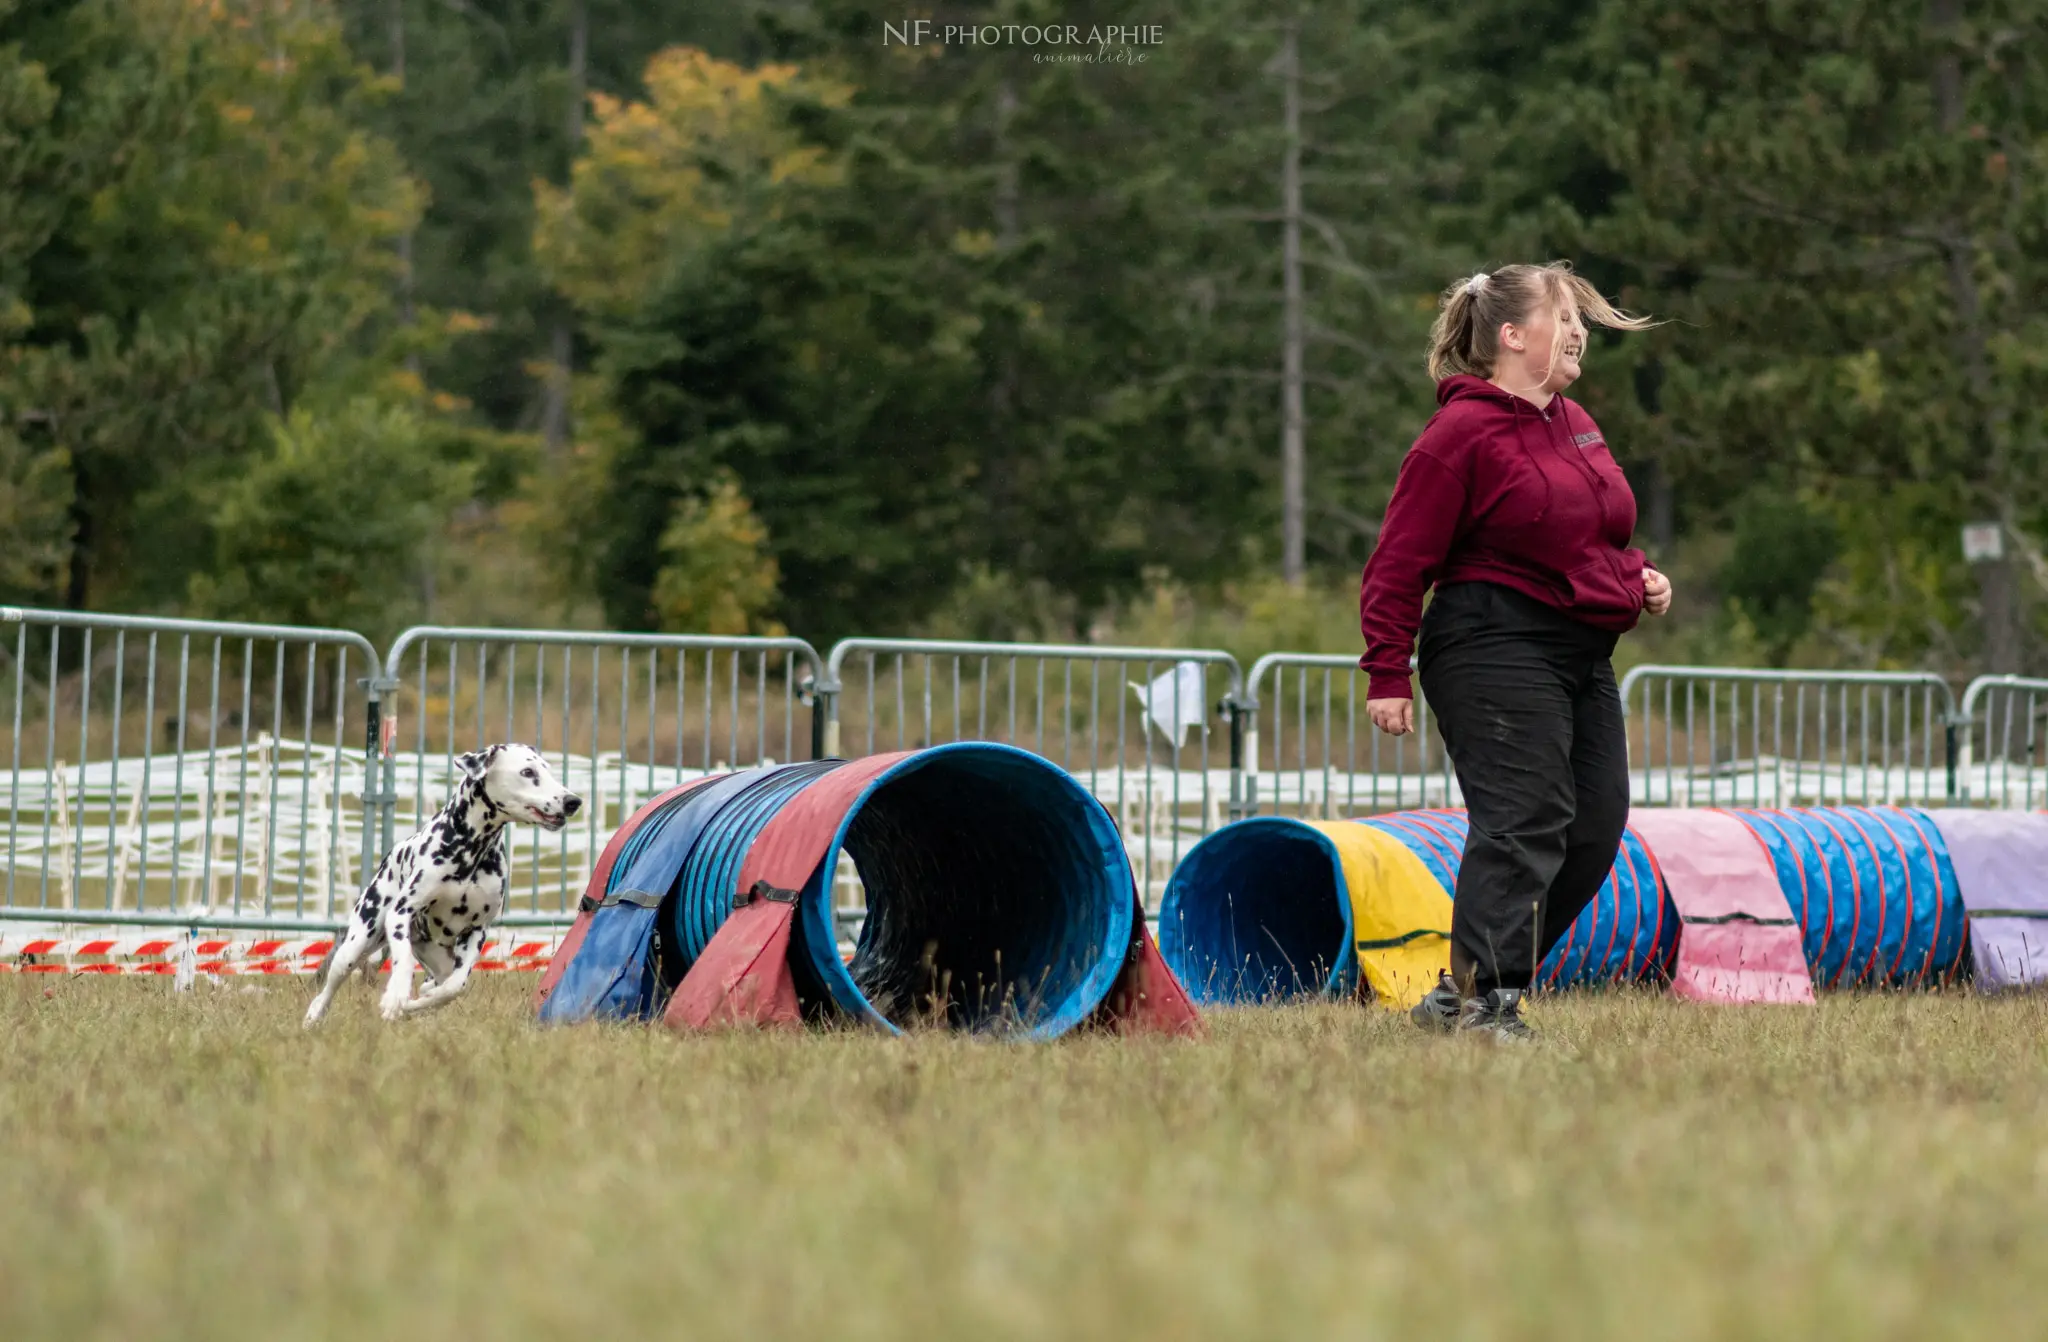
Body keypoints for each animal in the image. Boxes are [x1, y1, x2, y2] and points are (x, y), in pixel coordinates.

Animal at [303, 745, 581, 1028]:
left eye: (547, 769)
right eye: (527, 772)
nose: (573, 801)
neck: (471, 851)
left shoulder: (476, 931)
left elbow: (454, 987)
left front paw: (414, 1004)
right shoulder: (400, 914)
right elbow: (403, 960)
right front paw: (395, 996)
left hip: (436, 956)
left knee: (439, 981)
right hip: (356, 944)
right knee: (328, 988)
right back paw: (313, 1016)